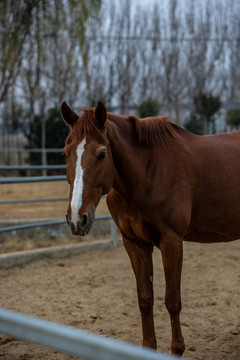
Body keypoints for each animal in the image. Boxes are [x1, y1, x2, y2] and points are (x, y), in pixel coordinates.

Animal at [60, 100, 240, 356]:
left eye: (102, 154)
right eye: (65, 154)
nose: (77, 219)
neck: (148, 173)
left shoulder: (171, 242)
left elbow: (172, 300)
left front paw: (177, 349)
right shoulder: (135, 243)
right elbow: (145, 298)